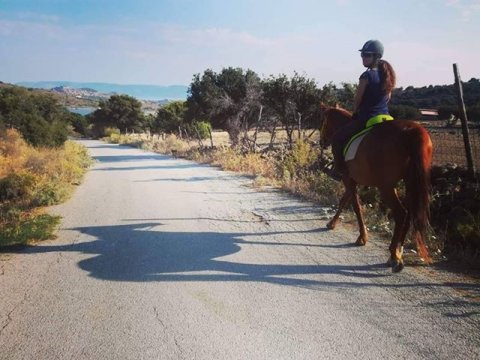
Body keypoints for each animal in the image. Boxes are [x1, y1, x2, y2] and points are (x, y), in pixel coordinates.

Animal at [320, 105, 434, 272]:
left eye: (323, 121)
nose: (321, 142)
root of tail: (412, 131)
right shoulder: (353, 181)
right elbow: (344, 201)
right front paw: (332, 223)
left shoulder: (348, 179)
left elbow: (355, 206)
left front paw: (362, 237)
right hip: (410, 181)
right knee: (408, 215)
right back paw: (398, 252)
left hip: (386, 186)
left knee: (401, 213)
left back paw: (394, 256)